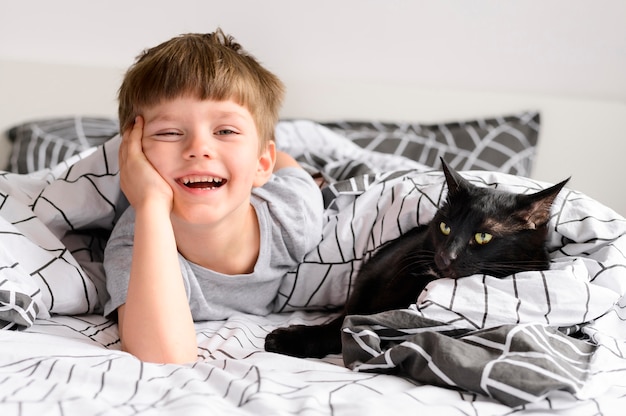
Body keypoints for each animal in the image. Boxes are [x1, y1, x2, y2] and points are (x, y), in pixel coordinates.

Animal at [264, 161, 564, 360]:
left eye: (483, 236)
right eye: (445, 227)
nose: (445, 256)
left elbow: (343, 329)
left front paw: (289, 340)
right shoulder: (369, 278)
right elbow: (343, 317)